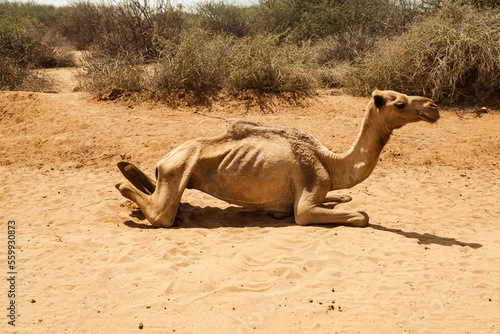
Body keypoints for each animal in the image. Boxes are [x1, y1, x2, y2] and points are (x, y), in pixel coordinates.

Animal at [115, 89, 440, 227]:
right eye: (400, 103)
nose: (433, 106)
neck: (330, 161)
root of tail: (164, 160)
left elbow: (342, 198)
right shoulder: (309, 194)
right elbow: (359, 215)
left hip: (171, 171)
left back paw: (128, 170)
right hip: (177, 171)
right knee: (161, 214)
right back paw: (124, 181)